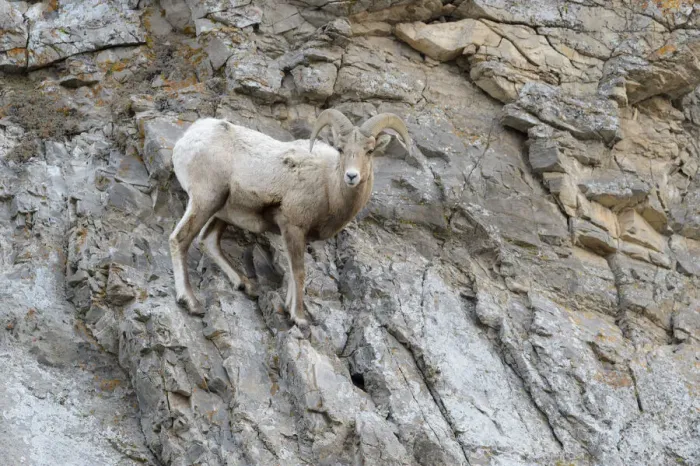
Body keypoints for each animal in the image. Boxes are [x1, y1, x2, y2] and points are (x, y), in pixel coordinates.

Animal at [169, 109, 411, 326]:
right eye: (341, 149)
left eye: (369, 151)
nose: (351, 176)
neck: (328, 185)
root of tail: (187, 139)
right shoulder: (293, 227)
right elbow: (299, 272)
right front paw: (299, 318)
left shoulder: (295, 235)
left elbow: (291, 272)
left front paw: (288, 309)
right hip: (205, 201)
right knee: (180, 239)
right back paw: (191, 302)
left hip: (223, 211)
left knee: (208, 240)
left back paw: (245, 285)